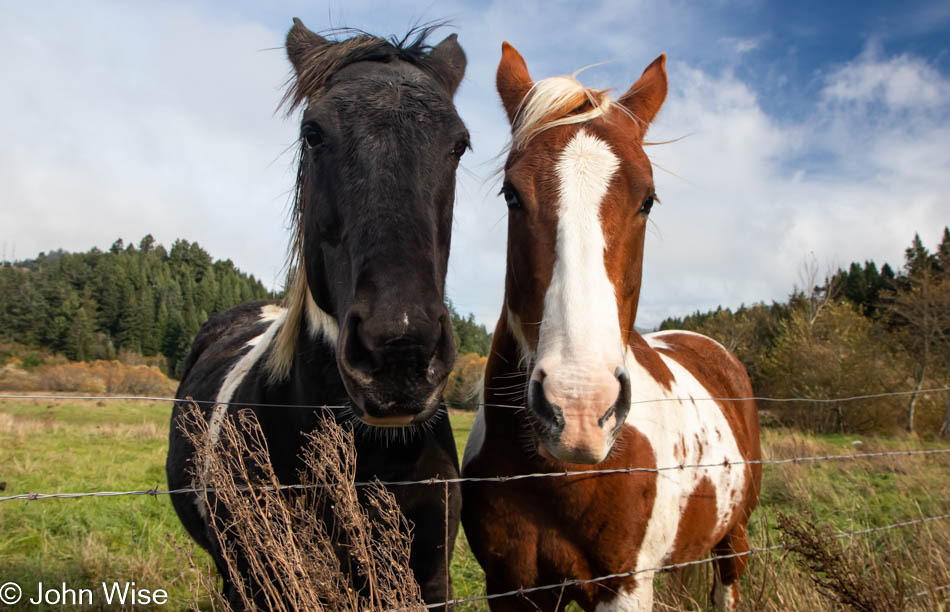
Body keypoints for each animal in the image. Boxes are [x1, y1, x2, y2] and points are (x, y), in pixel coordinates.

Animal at [462, 41, 768, 608]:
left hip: (733, 539)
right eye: (511, 194)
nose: (579, 408)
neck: (561, 476)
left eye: (647, 199)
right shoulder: (511, 587)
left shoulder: (623, 585)